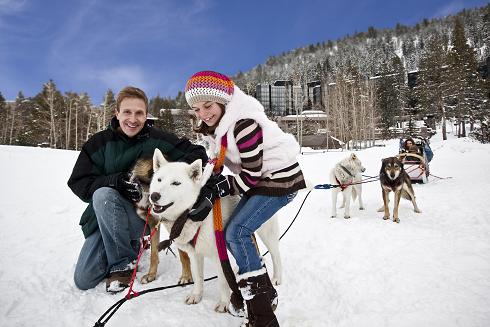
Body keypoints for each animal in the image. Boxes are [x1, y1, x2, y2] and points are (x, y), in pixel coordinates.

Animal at [147, 150, 282, 314]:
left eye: (176, 183)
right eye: (159, 179)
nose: (154, 195)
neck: (193, 212)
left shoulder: (219, 255)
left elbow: (223, 281)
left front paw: (224, 303)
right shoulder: (195, 254)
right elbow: (198, 278)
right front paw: (196, 295)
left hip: (266, 232)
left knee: (276, 254)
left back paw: (277, 278)